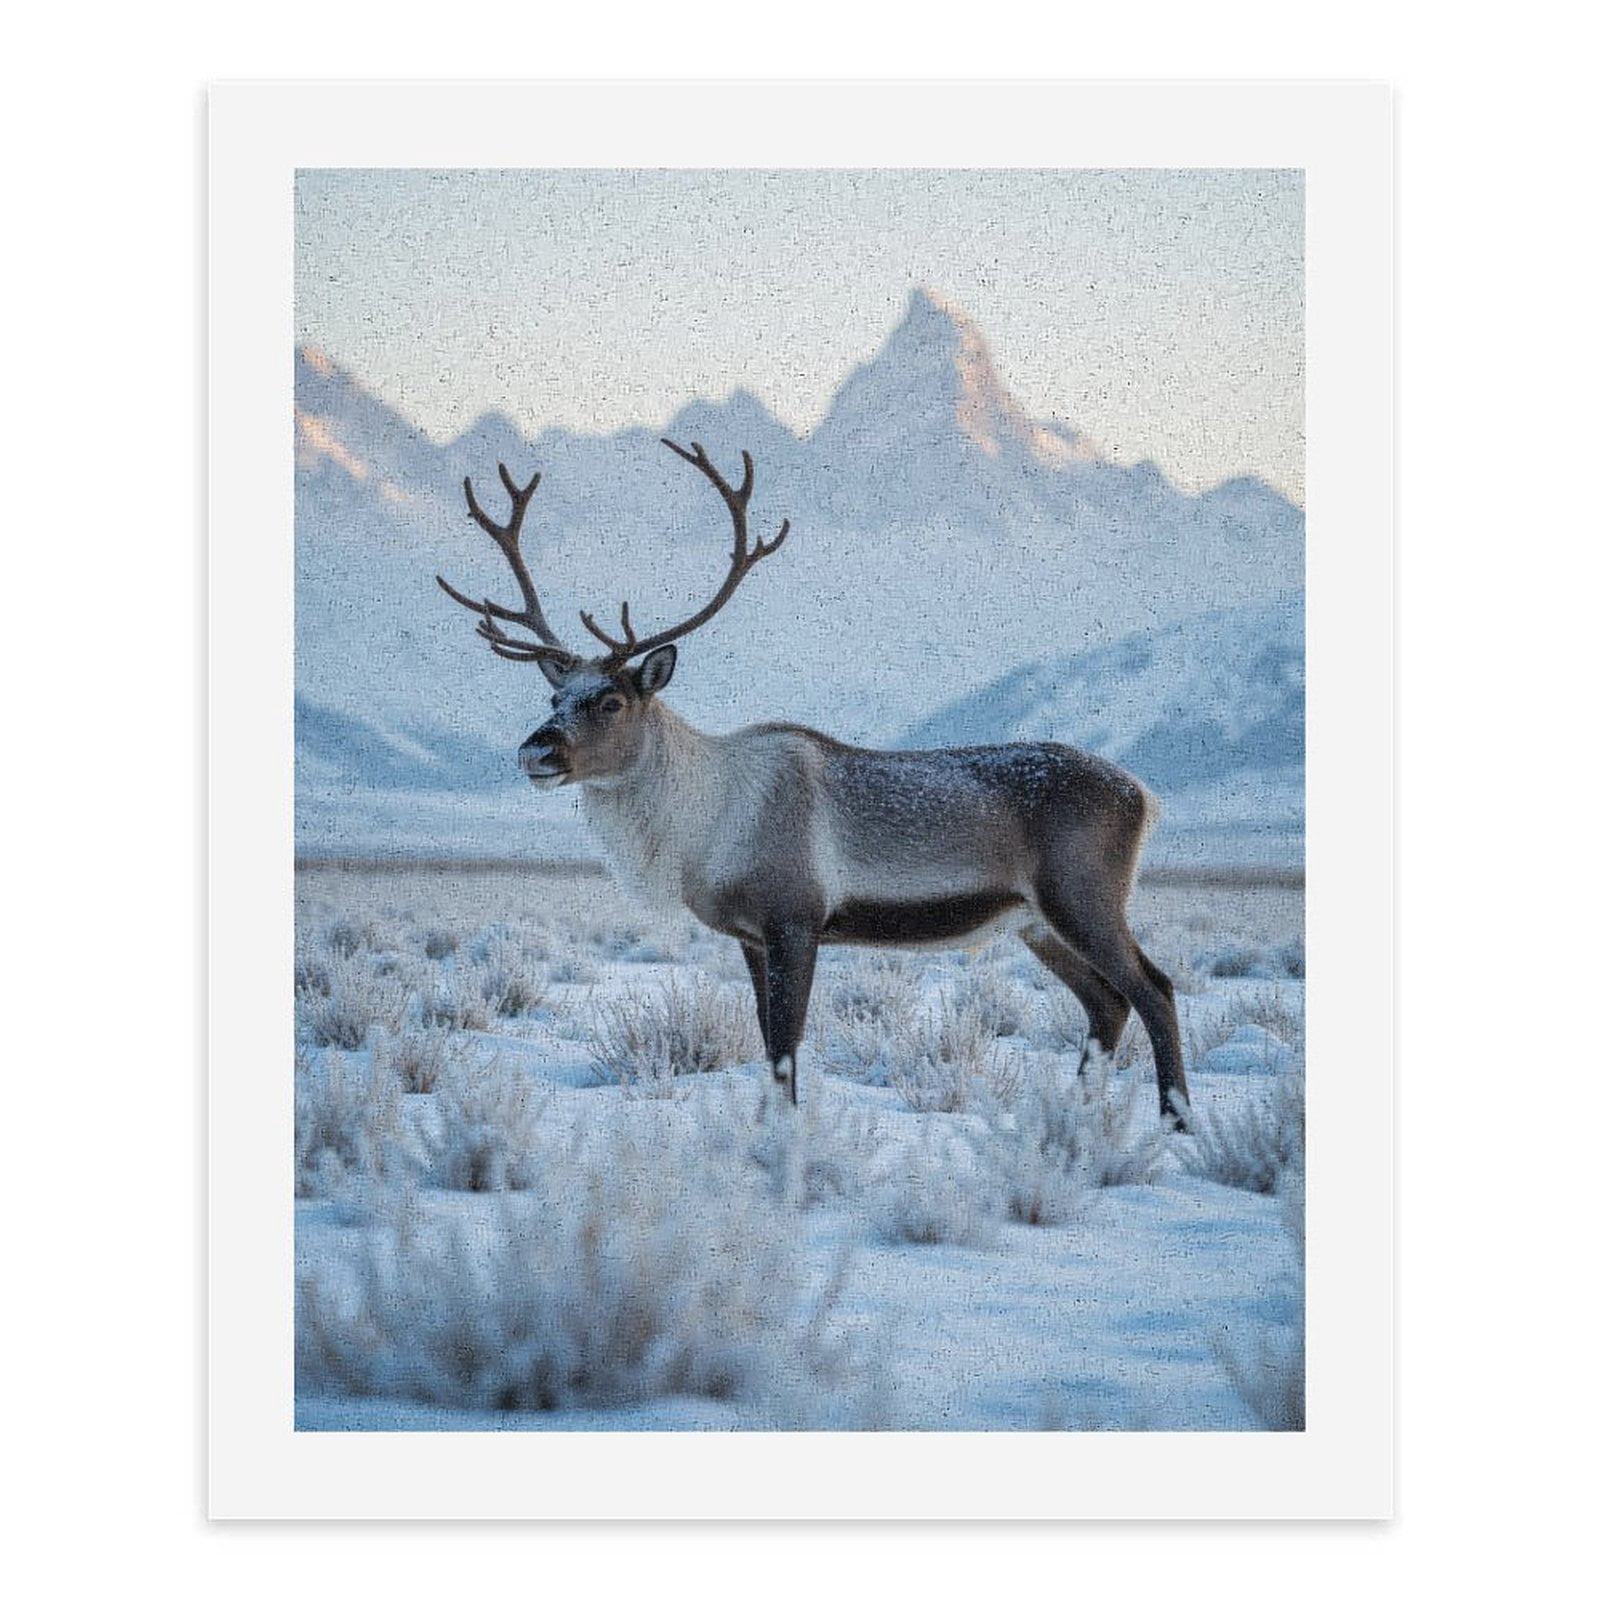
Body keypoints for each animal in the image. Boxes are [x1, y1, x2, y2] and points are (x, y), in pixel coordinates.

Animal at [437, 440, 1190, 1126]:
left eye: (611, 701)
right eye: (556, 697)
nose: (535, 751)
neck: (703, 826)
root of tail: (1145, 796)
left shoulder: (795, 919)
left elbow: (786, 1047)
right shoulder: (748, 935)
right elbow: (768, 1041)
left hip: (1082, 896)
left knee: (1153, 988)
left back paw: (1175, 1122)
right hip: (1034, 921)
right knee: (1107, 1002)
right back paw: (1073, 1118)